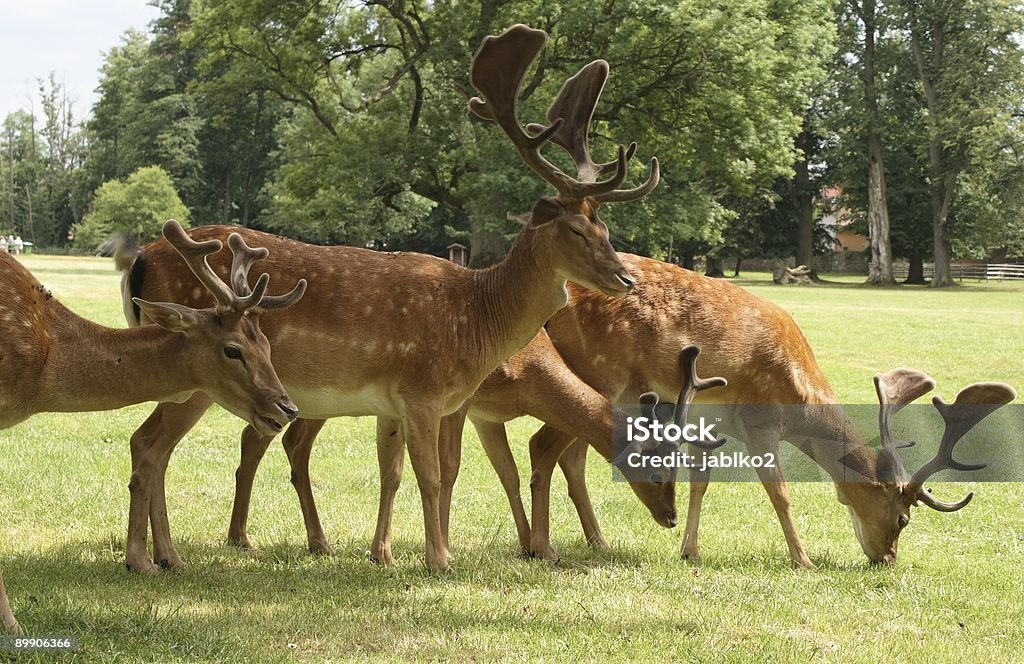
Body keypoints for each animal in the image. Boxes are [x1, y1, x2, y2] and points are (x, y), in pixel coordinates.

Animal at [110, 23, 655, 573]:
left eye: (605, 227)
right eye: (576, 229)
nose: (625, 278)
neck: (476, 318)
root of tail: (141, 260)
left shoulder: (394, 402)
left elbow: (392, 473)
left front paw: (386, 554)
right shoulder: (423, 392)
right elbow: (431, 476)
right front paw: (440, 559)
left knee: (152, 444)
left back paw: (168, 554)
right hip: (201, 372)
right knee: (150, 444)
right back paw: (159, 557)